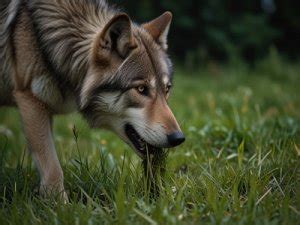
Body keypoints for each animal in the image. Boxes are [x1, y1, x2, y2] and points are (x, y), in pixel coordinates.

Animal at [0, 0, 185, 200]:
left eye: (166, 89)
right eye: (141, 89)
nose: (178, 138)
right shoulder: (30, 101)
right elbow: (53, 169)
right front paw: (60, 206)